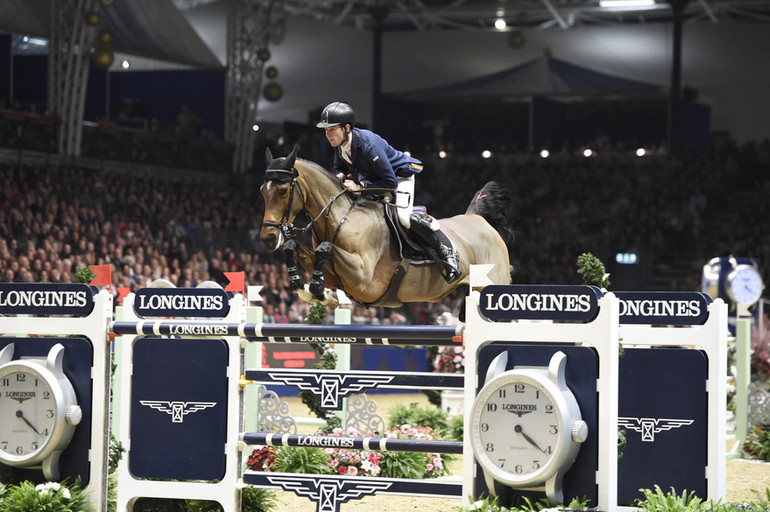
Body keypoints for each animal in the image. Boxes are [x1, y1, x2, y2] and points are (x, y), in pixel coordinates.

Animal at [255, 146, 512, 310]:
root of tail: (476, 217)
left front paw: (316, 287)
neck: (341, 217)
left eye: (283, 191)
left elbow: (326, 248)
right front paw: (301, 285)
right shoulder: (337, 277)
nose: (268, 238)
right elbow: (292, 245)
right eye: (261, 191)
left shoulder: (364, 279)